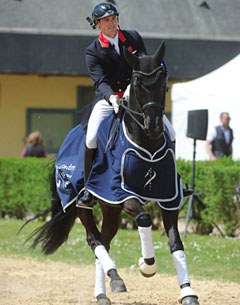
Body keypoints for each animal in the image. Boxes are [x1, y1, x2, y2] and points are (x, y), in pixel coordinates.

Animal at [25, 42, 199, 304]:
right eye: (137, 82)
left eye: (163, 81)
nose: (154, 125)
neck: (147, 144)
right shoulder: (121, 193)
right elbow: (144, 219)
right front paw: (146, 264)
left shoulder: (170, 200)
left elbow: (176, 243)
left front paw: (187, 291)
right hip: (85, 204)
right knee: (94, 240)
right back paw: (113, 278)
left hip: (111, 210)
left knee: (104, 242)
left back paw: (106, 289)